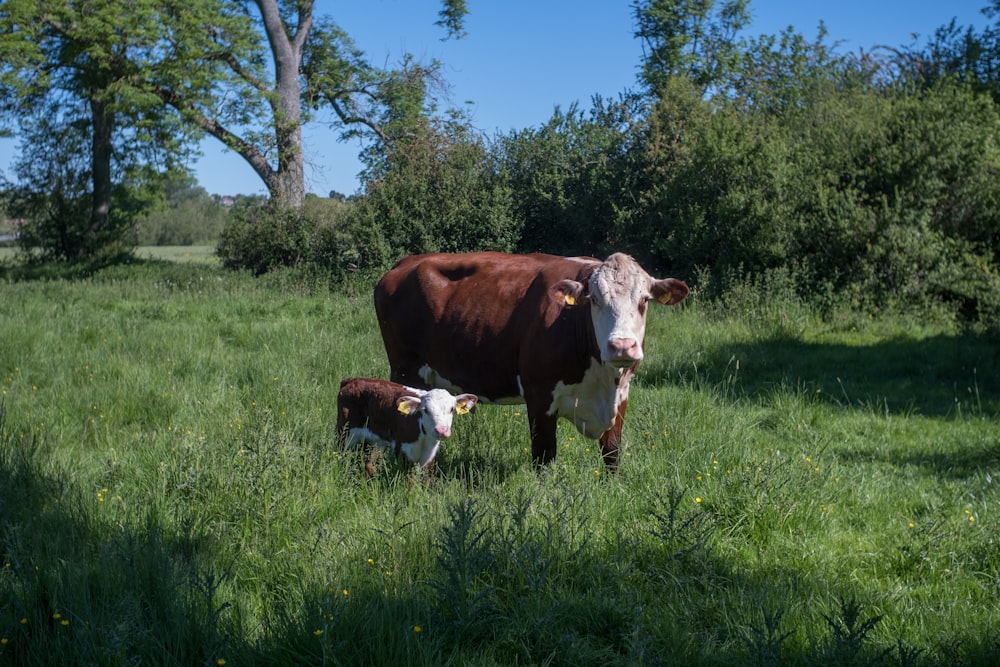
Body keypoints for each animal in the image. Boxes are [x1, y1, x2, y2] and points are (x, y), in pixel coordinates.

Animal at [334, 378, 478, 478]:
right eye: (425, 410)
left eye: (452, 409)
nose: (441, 430)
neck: (424, 439)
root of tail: (353, 380)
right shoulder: (403, 449)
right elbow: (410, 479)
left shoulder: (430, 455)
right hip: (344, 433)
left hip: (377, 441)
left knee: (369, 463)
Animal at [372, 252, 692, 470]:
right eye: (595, 300)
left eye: (644, 300)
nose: (622, 346)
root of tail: (406, 263)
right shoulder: (539, 395)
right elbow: (544, 455)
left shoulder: (621, 394)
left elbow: (612, 452)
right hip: (405, 369)